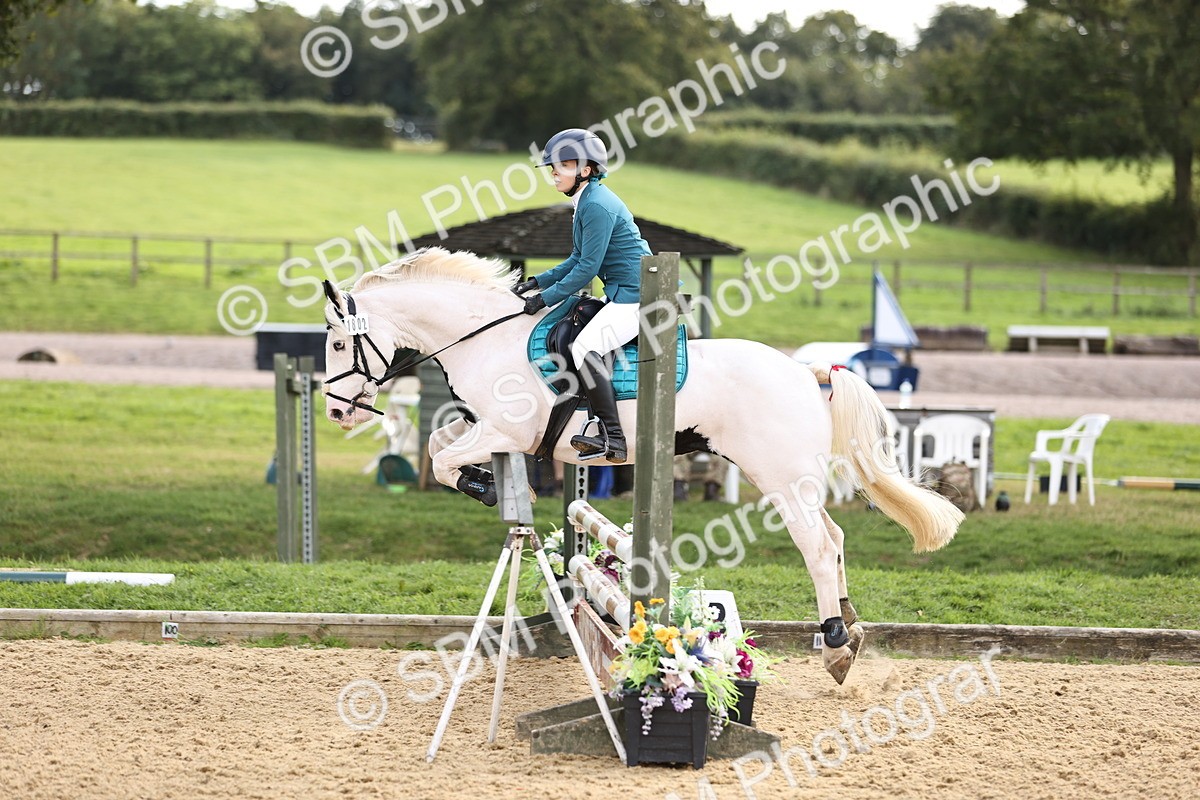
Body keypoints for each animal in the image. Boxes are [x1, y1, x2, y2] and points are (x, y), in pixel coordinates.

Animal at [320, 246, 964, 684]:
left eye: (336, 343)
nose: (336, 411)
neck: (484, 340)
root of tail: (808, 372)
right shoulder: (486, 427)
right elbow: (437, 445)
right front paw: (482, 484)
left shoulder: (506, 430)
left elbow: (445, 457)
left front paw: (479, 484)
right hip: (793, 478)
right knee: (834, 538)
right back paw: (850, 631)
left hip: (778, 476)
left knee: (817, 547)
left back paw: (833, 644)